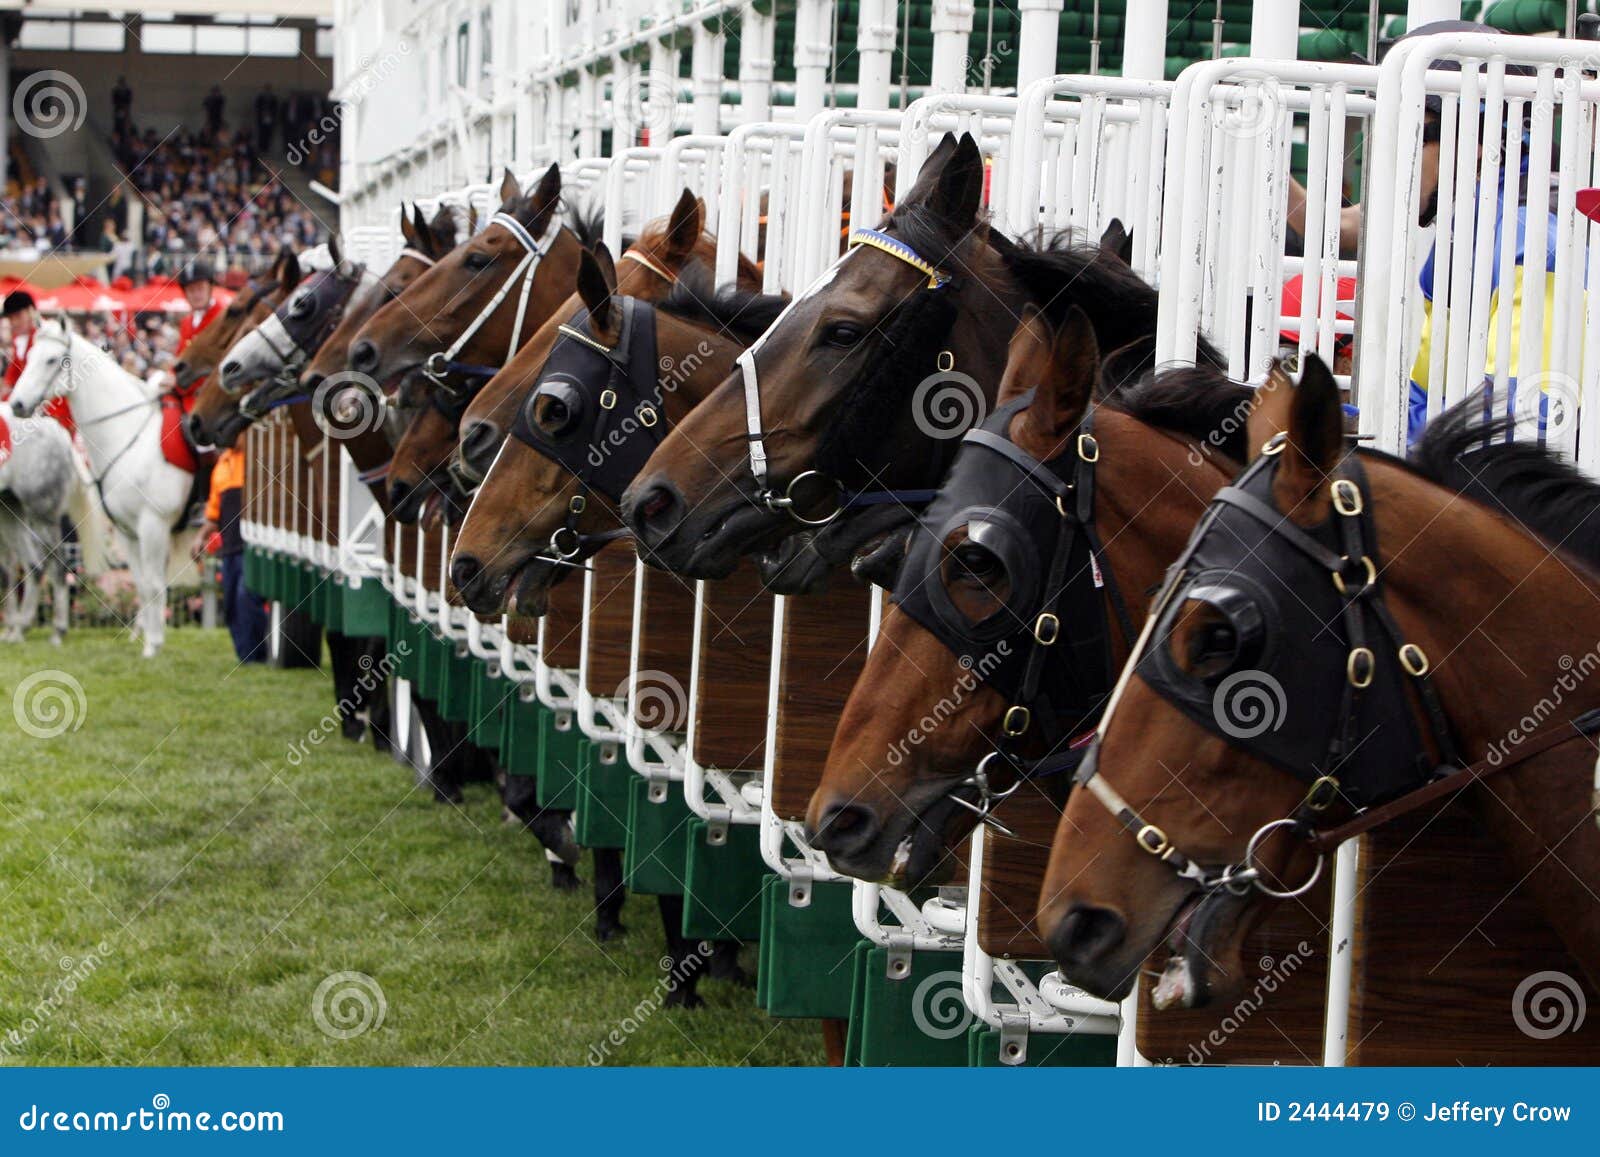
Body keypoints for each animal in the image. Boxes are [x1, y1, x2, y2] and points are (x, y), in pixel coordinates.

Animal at [0, 400, 85, 643]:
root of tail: (58, 432)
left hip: (42, 514)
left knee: (56, 564)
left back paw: (56, 629)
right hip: (11, 511)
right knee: (33, 566)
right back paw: (18, 629)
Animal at [10, 321, 192, 656]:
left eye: (51, 360)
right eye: (28, 357)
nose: (17, 404)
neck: (129, 436)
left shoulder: (154, 525)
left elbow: (154, 583)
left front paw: (154, 646)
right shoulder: (128, 531)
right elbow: (143, 582)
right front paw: (149, 639)